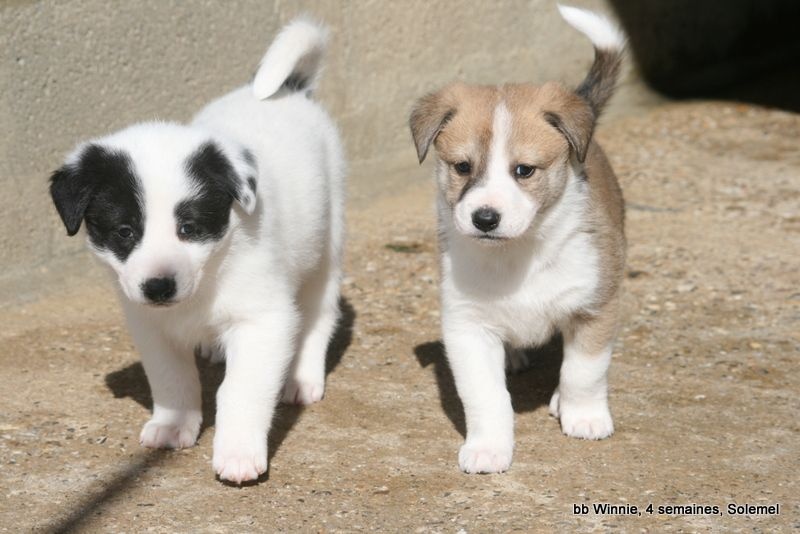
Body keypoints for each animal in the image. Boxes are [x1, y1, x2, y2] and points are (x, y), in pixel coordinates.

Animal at [50, 19, 344, 486]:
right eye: (124, 232)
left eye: (190, 228)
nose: (158, 287)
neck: (210, 277)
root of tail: (290, 89)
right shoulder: (148, 324)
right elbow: (171, 379)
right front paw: (173, 425)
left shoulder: (263, 320)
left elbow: (240, 389)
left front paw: (239, 453)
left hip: (324, 245)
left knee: (319, 314)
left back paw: (302, 378)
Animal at [412, 6, 624, 476]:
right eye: (462, 166)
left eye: (524, 170)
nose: (485, 218)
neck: (518, 253)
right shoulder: (467, 326)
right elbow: (485, 397)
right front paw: (488, 448)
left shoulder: (595, 308)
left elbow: (584, 372)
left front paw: (583, 416)